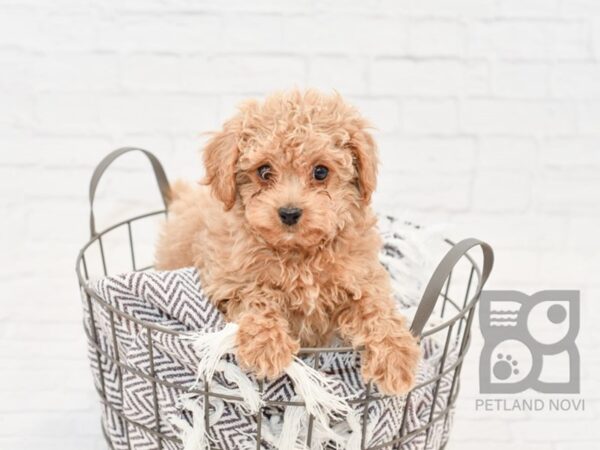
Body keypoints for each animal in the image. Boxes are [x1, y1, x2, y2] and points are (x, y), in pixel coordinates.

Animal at [154, 89, 418, 394]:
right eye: (264, 171)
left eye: (321, 172)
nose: (289, 212)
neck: (298, 254)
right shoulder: (227, 280)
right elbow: (257, 297)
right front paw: (267, 345)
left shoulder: (362, 276)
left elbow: (376, 307)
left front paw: (396, 357)